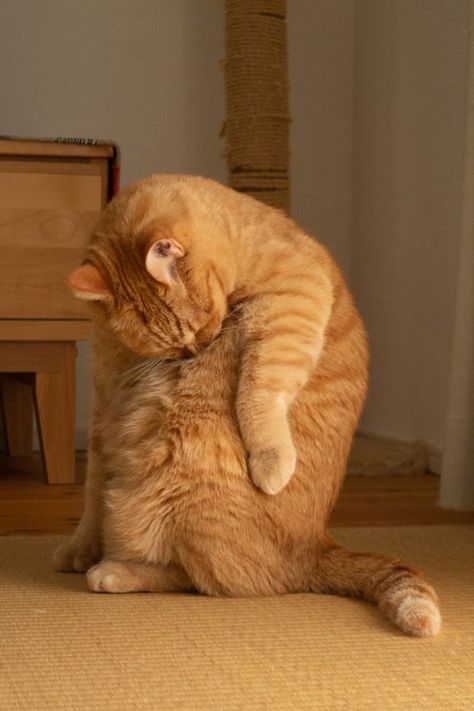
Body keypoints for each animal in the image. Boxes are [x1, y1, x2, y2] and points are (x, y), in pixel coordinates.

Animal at [54, 174, 441, 637]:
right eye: (166, 344)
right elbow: (92, 492)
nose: (196, 350)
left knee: (204, 579)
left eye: (199, 322)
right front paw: (80, 548)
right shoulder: (102, 412)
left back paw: (115, 571)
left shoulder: (294, 297)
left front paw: (271, 460)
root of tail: (316, 545)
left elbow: (262, 387)